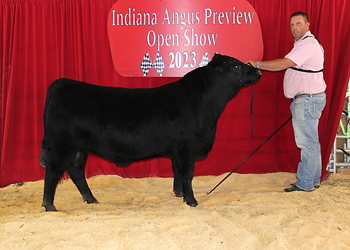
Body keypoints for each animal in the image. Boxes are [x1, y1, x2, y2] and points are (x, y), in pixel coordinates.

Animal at [40, 54, 260, 211]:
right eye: (237, 66)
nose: (258, 70)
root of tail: (65, 82)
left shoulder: (176, 151)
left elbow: (177, 172)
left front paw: (178, 194)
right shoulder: (187, 148)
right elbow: (187, 175)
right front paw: (191, 201)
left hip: (79, 149)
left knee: (76, 172)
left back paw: (91, 199)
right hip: (63, 146)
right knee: (53, 171)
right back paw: (50, 206)